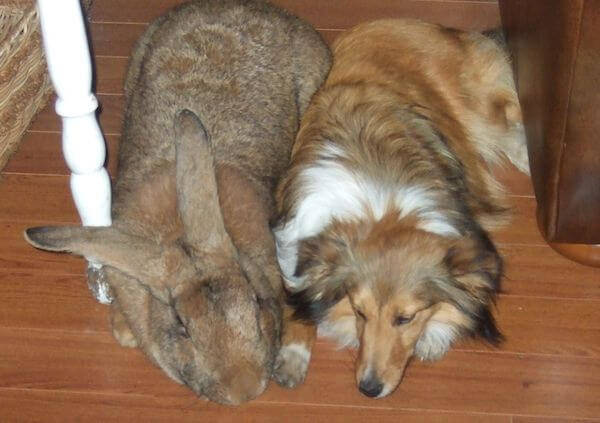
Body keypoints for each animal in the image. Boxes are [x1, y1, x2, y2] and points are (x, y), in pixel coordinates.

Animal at [272, 19, 528, 398]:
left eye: (405, 318)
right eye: (359, 312)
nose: (368, 389)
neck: (382, 207)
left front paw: (434, 338)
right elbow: (296, 299)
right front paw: (292, 355)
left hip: (484, 111)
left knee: (509, 114)